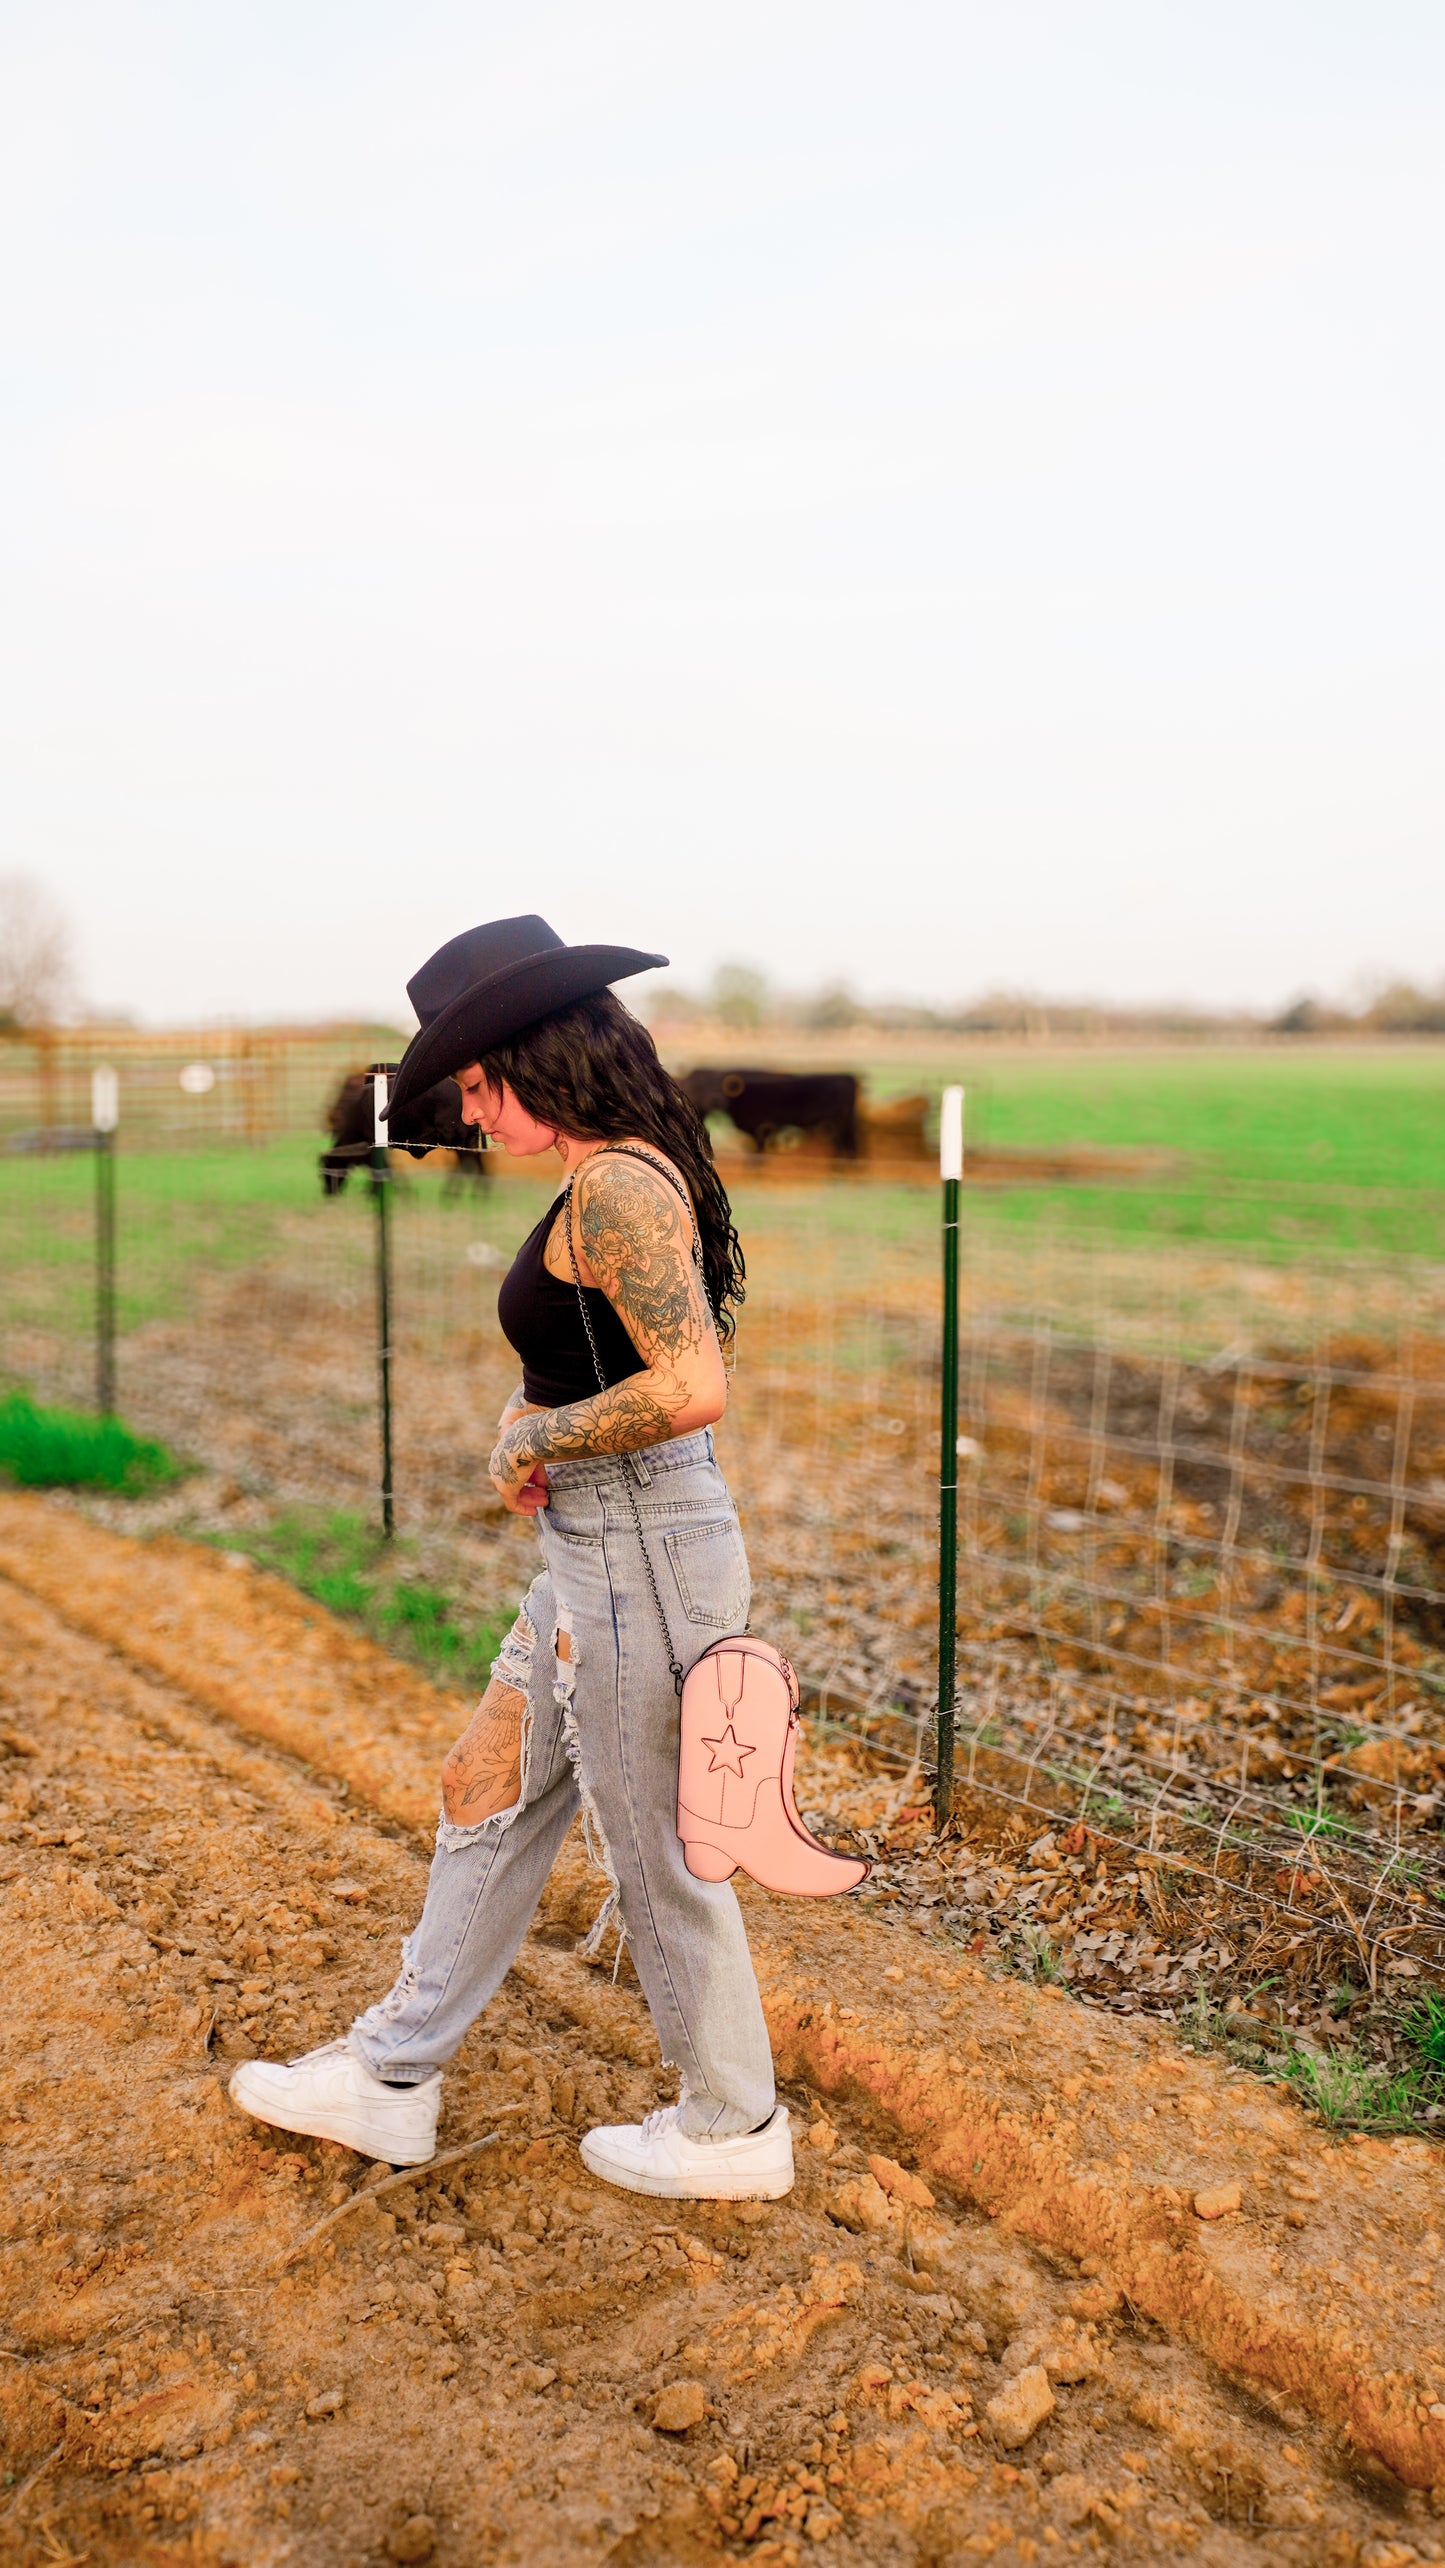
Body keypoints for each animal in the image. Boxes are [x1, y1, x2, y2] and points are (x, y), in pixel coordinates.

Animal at [682, 1063, 857, 1155]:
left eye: (721, 1085)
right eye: (699, 1086)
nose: (717, 1100)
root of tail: (847, 1077)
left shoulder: (761, 1129)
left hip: (839, 1125)